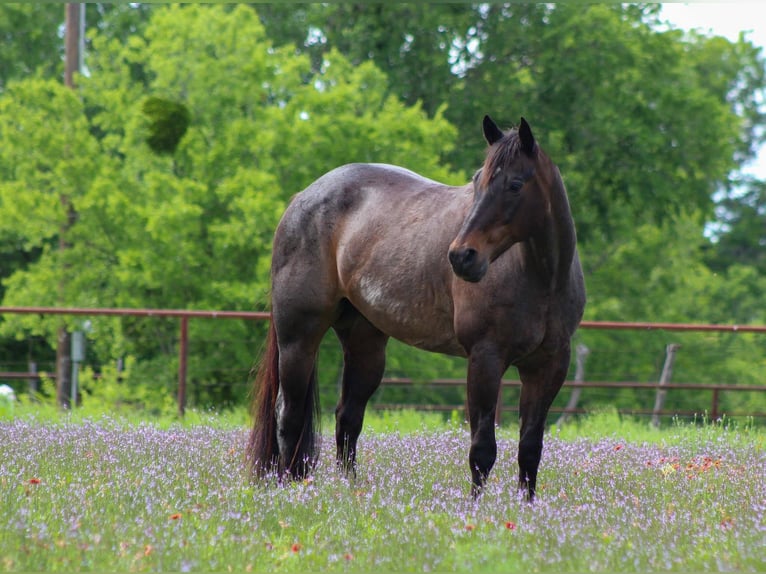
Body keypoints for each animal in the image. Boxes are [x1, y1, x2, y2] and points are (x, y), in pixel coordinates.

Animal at [247, 115, 586, 500]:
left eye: (515, 184)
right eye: (477, 181)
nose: (461, 256)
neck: (542, 278)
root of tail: (302, 198)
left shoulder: (548, 366)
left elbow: (530, 449)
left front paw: (528, 509)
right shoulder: (485, 358)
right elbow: (483, 450)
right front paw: (477, 508)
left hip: (365, 343)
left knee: (347, 418)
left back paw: (350, 493)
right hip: (298, 339)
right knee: (289, 415)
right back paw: (289, 491)